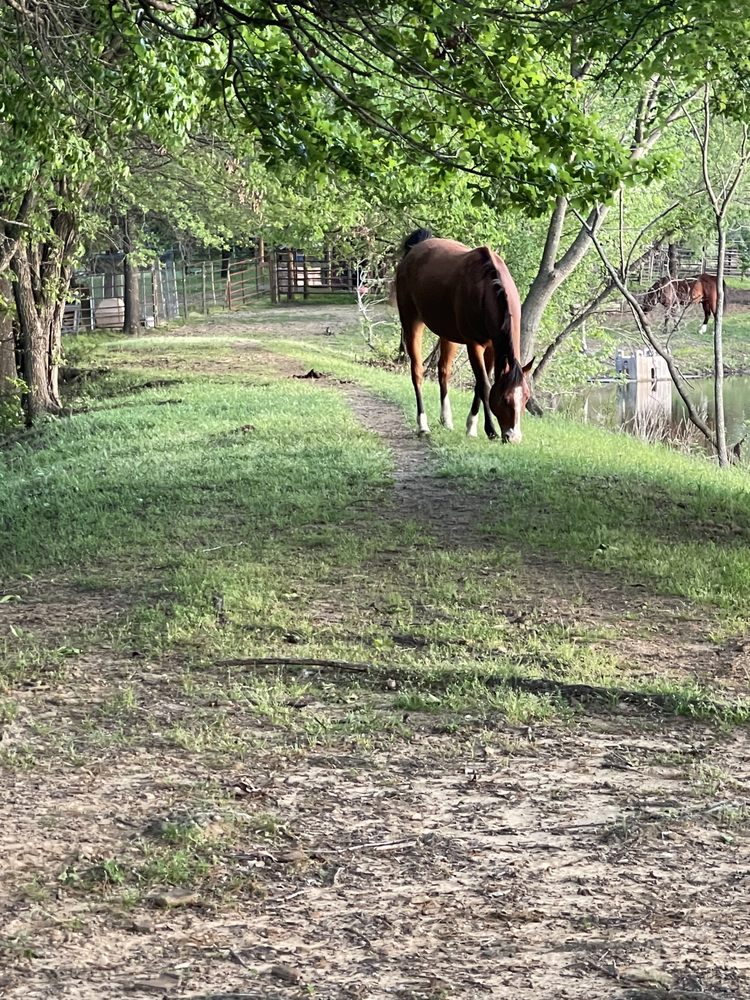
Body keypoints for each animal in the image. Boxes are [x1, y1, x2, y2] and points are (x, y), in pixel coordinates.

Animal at [394, 229, 533, 443]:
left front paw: (472, 426)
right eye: (505, 398)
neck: (486, 289)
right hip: (412, 322)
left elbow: (480, 383)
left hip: (447, 333)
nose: (514, 436)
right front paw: (489, 429)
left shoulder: (491, 346)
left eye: (526, 398)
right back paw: (423, 425)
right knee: (417, 371)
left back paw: (446, 420)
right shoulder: (474, 345)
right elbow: (484, 385)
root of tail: (414, 250)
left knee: (443, 371)